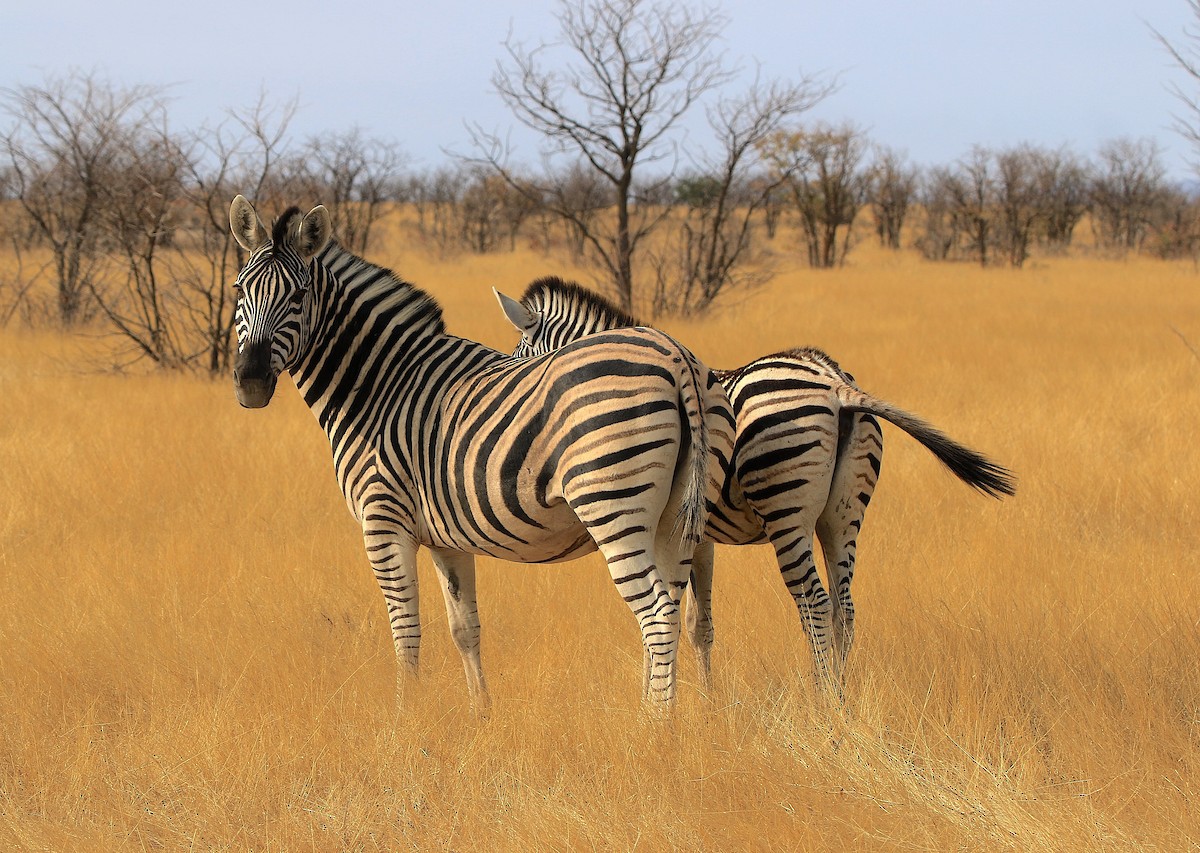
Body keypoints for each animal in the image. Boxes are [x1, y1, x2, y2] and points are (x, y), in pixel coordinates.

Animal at [228, 197, 734, 707]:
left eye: (298, 296)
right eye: (239, 290)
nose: (251, 382)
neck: (381, 386)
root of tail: (676, 357)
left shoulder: (383, 521)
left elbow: (405, 633)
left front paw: (404, 716)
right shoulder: (444, 537)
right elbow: (464, 628)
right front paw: (481, 713)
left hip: (613, 505)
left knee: (658, 615)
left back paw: (657, 720)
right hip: (680, 519)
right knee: (679, 610)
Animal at [494, 277, 1016, 689]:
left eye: (522, 359)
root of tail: (835, 381)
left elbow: (678, 616)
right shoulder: (700, 535)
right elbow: (698, 623)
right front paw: (706, 701)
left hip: (786, 507)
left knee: (814, 603)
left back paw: (822, 699)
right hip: (844, 515)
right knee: (844, 607)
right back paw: (842, 700)